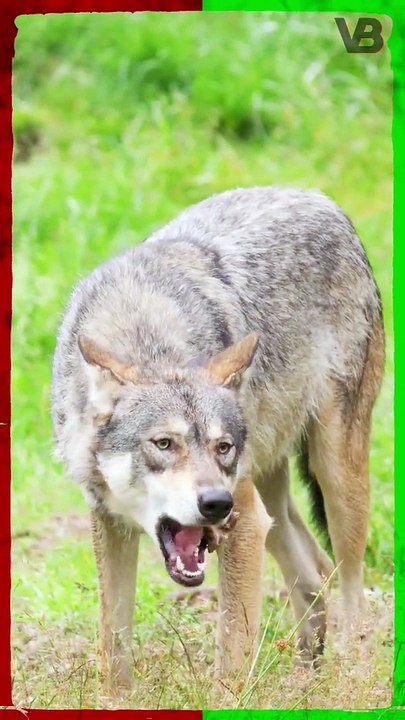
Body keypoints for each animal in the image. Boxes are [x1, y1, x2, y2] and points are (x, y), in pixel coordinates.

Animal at [51, 185, 384, 688]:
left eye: (221, 447)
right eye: (164, 444)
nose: (215, 504)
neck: (145, 335)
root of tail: (316, 196)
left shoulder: (244, 524)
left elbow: (232, 652)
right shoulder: (108, 520)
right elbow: (112, 644)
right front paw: (115, 698)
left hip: (329, 477)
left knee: (351, 586)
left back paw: (349, 675)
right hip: (270, 498)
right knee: (315, 572)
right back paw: (303, 680)